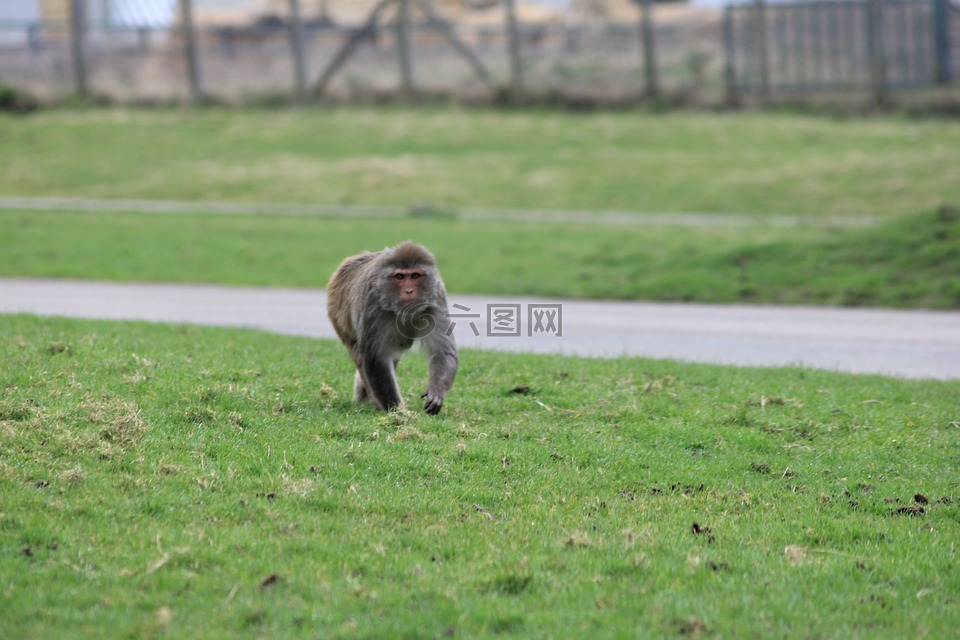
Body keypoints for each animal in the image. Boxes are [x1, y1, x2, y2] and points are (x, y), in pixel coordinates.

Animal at [328, 241, 460, 416]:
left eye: (415, 276)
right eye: (400, 277)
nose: (409, 291)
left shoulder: (436, 299)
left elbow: (442, 351)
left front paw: (436, 392)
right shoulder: (373, 305)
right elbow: (376, 358)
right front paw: (398, 411)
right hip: (338, 314)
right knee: (360, 356)